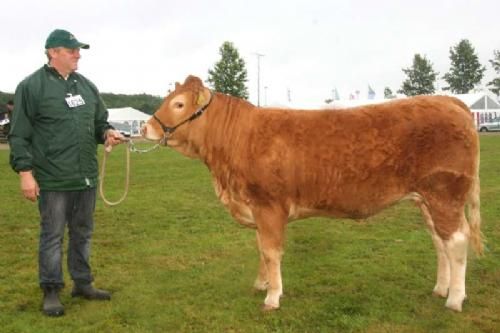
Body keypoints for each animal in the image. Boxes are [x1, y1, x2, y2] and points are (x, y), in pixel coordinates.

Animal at [140, 75, 480, 312]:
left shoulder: (269, 206)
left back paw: (455, 299)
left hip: (444, 194)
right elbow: (261, 249)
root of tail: (450, 102)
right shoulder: (257, 208)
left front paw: (272, 297)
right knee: (440, 241)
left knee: (456, 241)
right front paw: (261, 283)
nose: (145, 129)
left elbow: (271, 251)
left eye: (179, 104)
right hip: (427, 199)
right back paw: (442, 288)